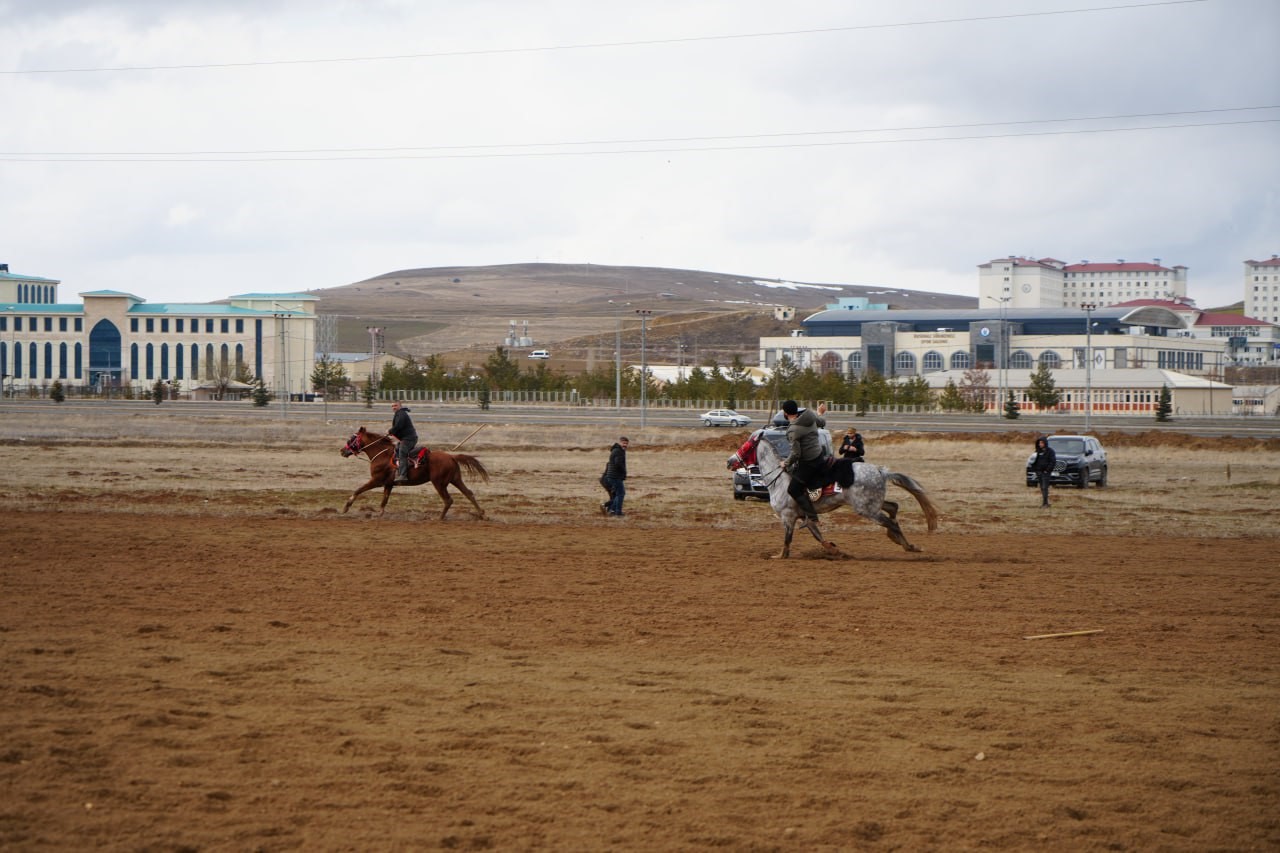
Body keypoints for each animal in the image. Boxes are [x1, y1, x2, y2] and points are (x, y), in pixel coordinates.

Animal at [340, 425, 488, 517]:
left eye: (352, 438)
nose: (342, 451)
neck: (382, 455)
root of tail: (452, 456)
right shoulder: (389, 484)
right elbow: (384, 501)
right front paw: (379, 514)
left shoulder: (376, 481)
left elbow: (358, 490)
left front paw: (346, 507)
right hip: (455, 479)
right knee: (469, 493)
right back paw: (481, 514)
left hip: (439, 483)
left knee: (448, 500)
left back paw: (440, 518)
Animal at [732, 425, 942, 558]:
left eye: (746, 446)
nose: (730, 461)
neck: (779, 479)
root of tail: (881, 471)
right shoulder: (804, 516)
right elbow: (817, 535)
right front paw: (834, 550)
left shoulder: (788, 516)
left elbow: (787, 539)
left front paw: (779, 555)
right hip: (873, 504)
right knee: (893, 508)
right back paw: (897, 539)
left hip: (867, 510)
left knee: (892, 522)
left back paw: (909, 546)